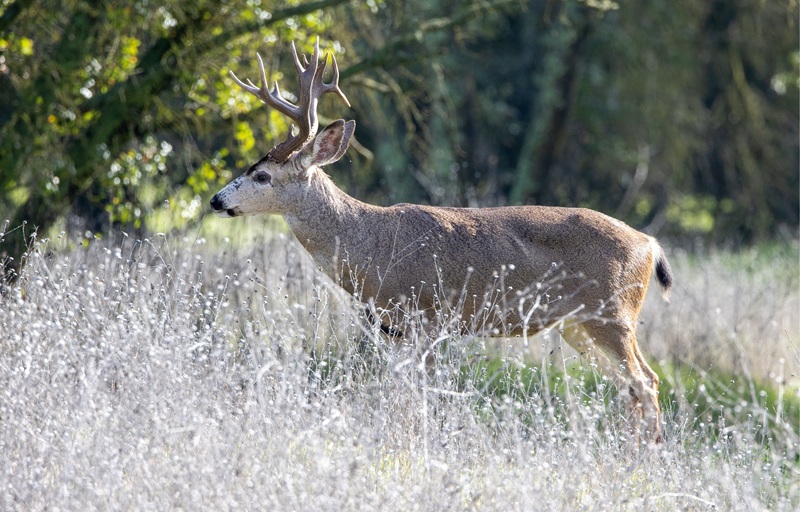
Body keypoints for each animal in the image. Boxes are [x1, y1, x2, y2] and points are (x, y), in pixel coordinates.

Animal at [210, 39, 674, 443]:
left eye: (262, 175)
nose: (216, 200)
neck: (370, 245)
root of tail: (649, 243)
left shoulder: (427, 316)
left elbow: (418, 397)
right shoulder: (393, 328)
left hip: (612, 313)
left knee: (646, 382)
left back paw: (643, 460)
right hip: (577, 324)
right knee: (630, 386)